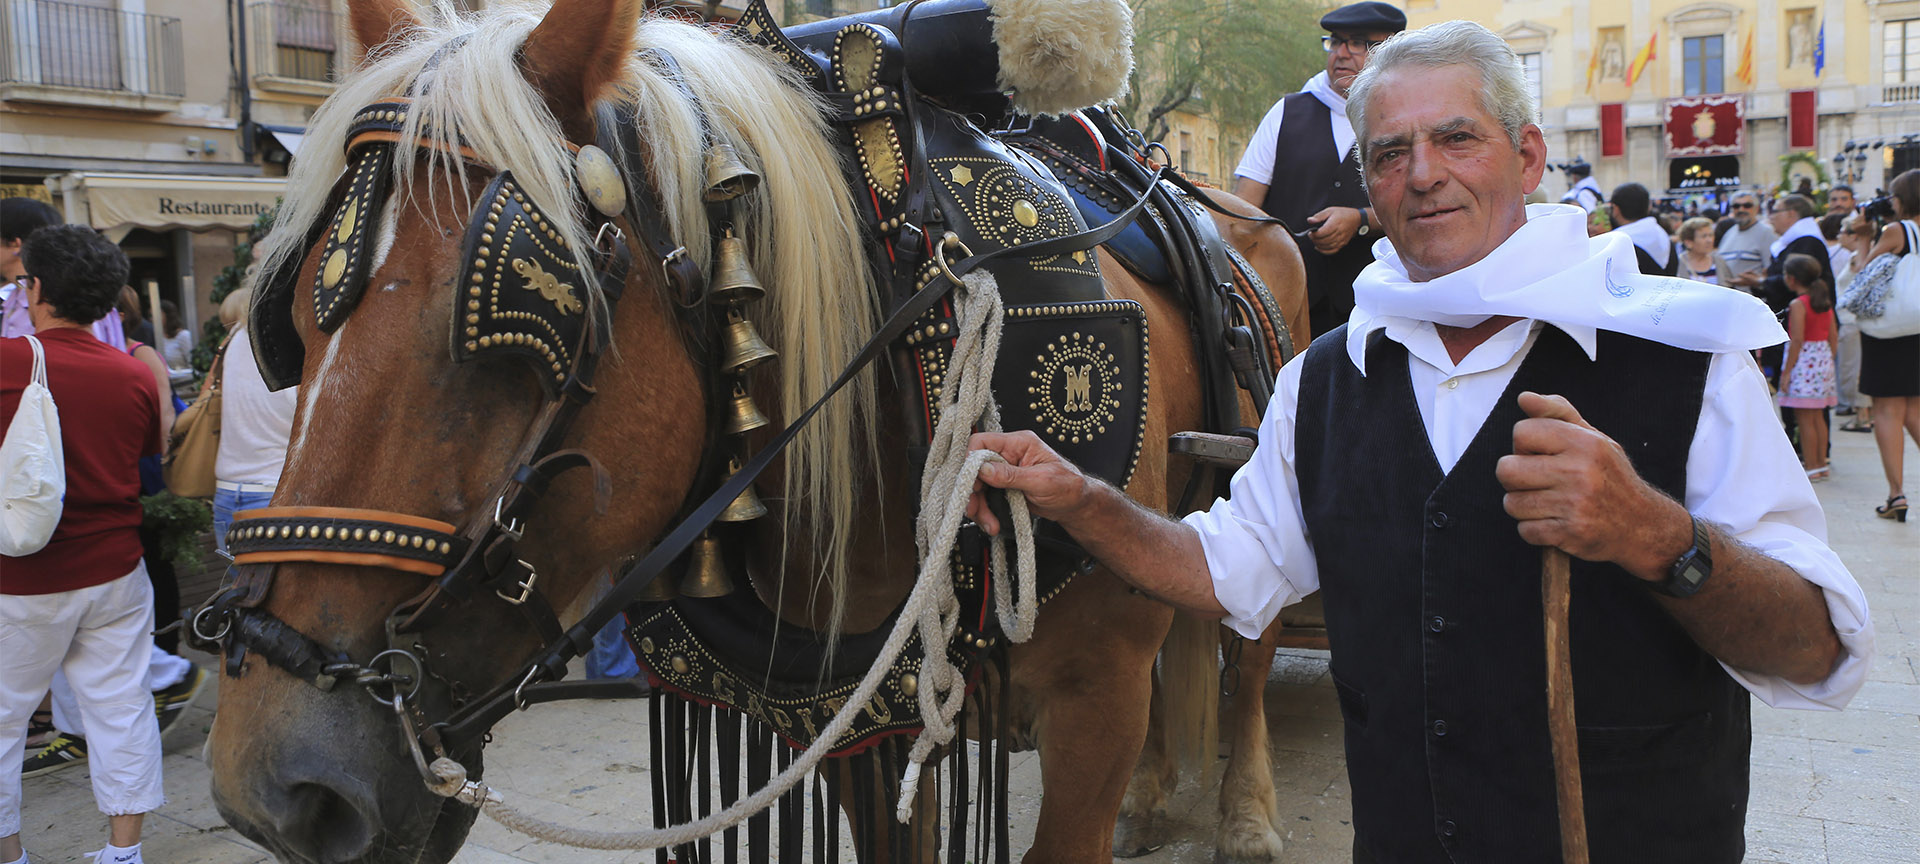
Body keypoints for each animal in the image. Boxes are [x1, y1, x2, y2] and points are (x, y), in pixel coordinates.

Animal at [202, 1, 1305, 864]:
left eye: (513, 343)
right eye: (288, 328)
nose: (276, 785)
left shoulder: (1093, 702)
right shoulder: (861, 723)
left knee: (1247, 640)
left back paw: (1246, 813)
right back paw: (1155, 798)